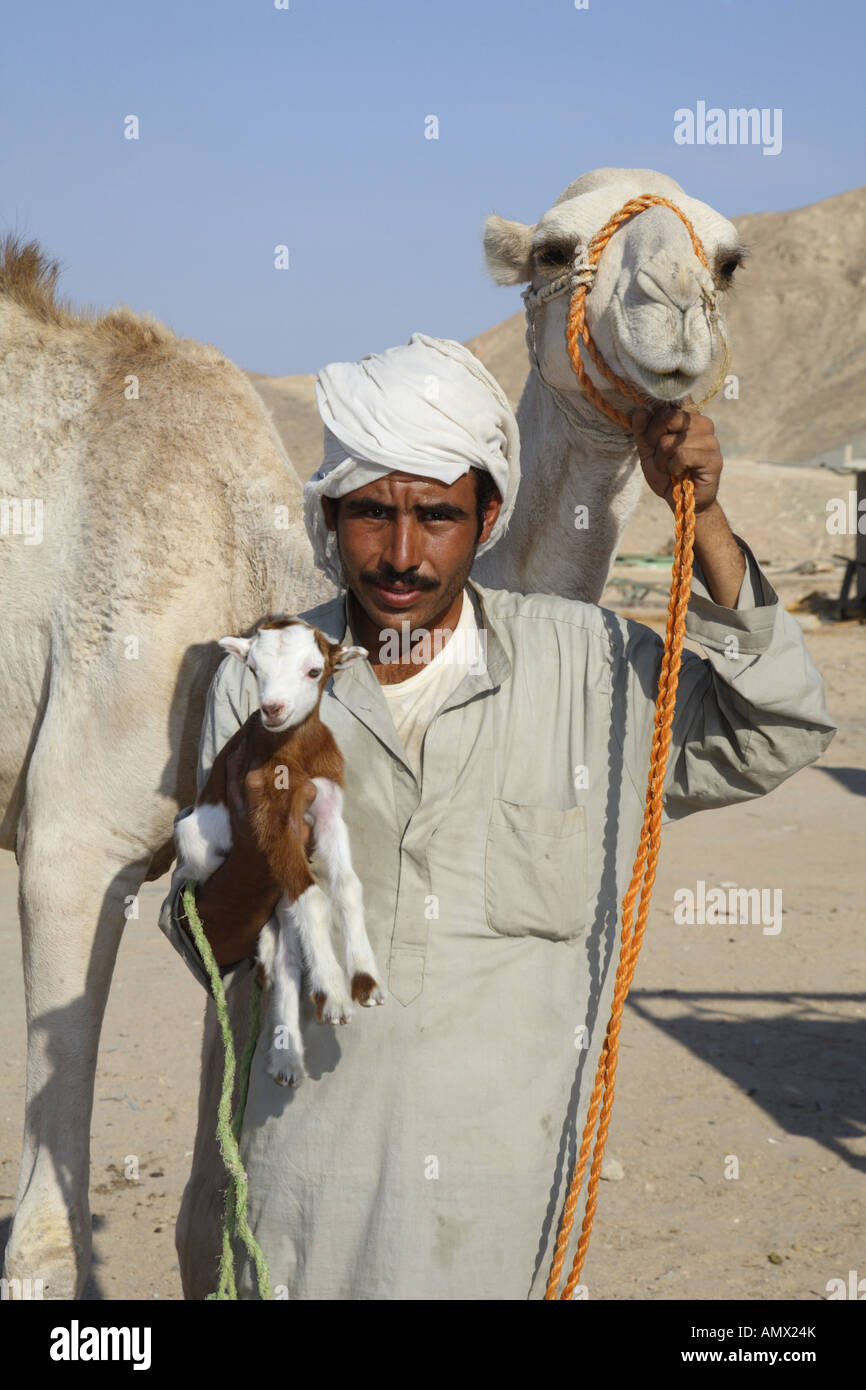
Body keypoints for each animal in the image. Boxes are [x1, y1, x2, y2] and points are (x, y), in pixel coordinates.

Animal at [175, 616, 385, 1086]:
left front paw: (365, 980)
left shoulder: (327, 808)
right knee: (283, 948)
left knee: (286, 945)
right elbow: (314, 899)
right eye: (254, 669)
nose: (272, 709)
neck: (296, 754)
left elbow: (348, 888)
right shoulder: (273, 821)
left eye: (314, 670)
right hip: (199, 846)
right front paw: (336, 993)